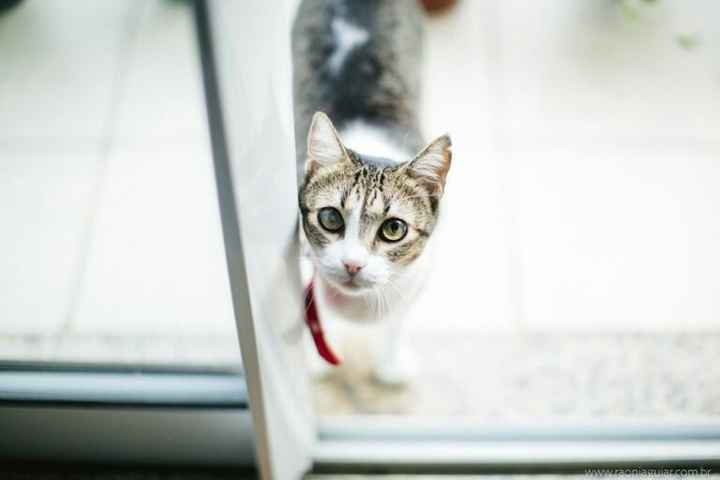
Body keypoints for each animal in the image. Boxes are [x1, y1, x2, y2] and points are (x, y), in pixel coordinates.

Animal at [292, 0, 450, 382]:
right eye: (330, 218)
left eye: (394, 228)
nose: (352, 264)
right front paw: (317, 360)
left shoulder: (415, 283)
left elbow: (394, 324)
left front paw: (389, 367)